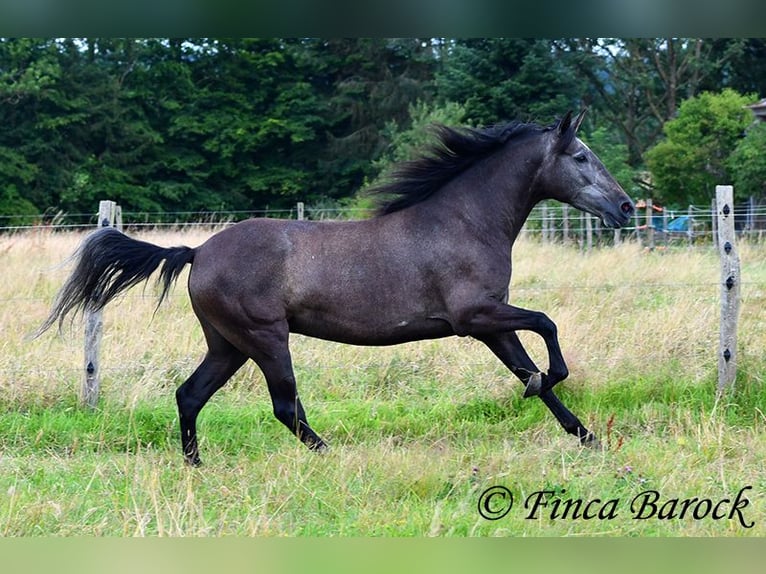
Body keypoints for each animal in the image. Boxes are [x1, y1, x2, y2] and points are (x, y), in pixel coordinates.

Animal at [36, 111, 636, 468]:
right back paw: (331, 455)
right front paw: (550, 387)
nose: (627, 208)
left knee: (190, 394)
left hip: (228, 345)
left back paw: (196, 466)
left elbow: (529, 366)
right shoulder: (477, 317)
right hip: (266, 339)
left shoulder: (490, 325)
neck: (465, 221)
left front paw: (585, 435)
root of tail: (198, 252)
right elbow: (547, 328)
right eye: (581, 157)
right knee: (285, 407)